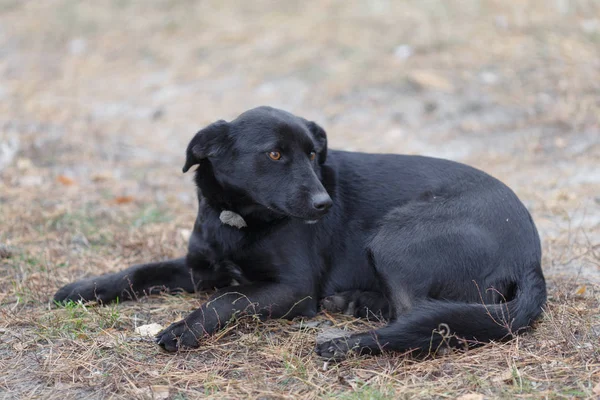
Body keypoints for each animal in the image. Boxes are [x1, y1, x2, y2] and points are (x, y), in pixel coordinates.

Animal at [54, 106, 548, 360]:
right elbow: (140, 270)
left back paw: (349, 342)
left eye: (313, 154)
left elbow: (228, 299)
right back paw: (354, 303)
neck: (239, 220)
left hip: (396, 237)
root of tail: (530, 256)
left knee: (428, 319)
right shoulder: (200, 268)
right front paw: (84, 289)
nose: (324, 204)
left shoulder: (291, 289)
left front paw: (185, 328)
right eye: (274, 155)